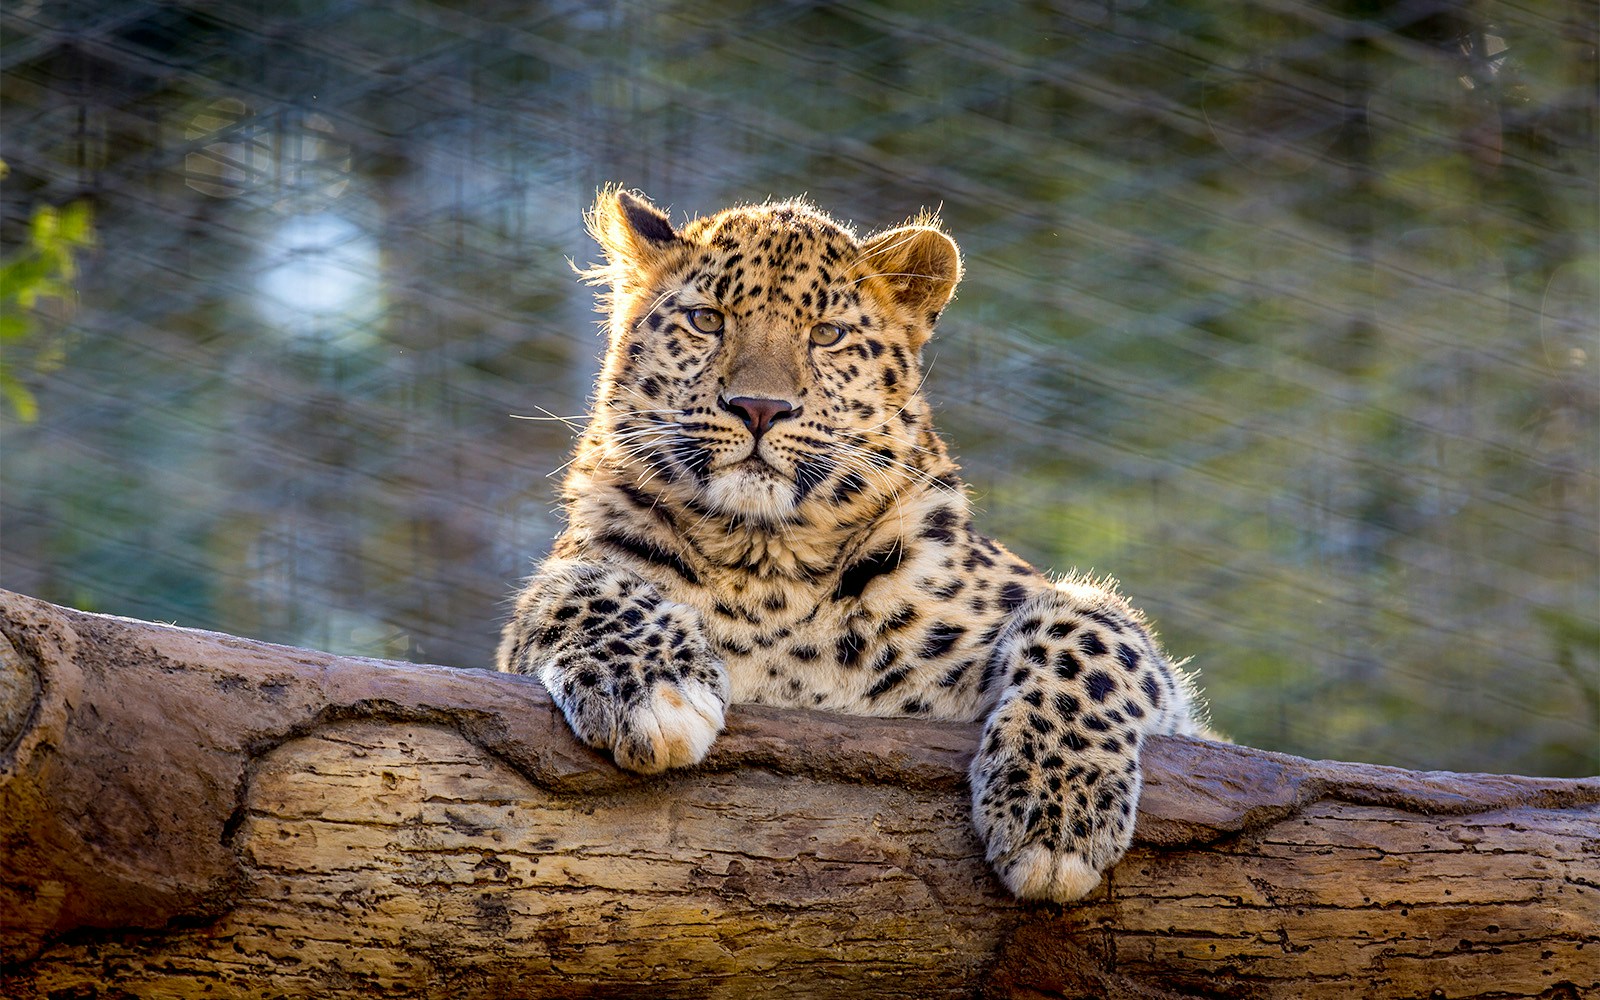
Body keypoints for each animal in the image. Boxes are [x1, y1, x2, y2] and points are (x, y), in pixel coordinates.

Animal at [497, 187, 1211, 902]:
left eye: (827, 334)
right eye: (706, 320)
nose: (759, 408)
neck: (766, 567)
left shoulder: (1172, 709)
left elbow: (1088, 628)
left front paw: (1055, 814)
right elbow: (573, 587)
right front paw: (652, 691)